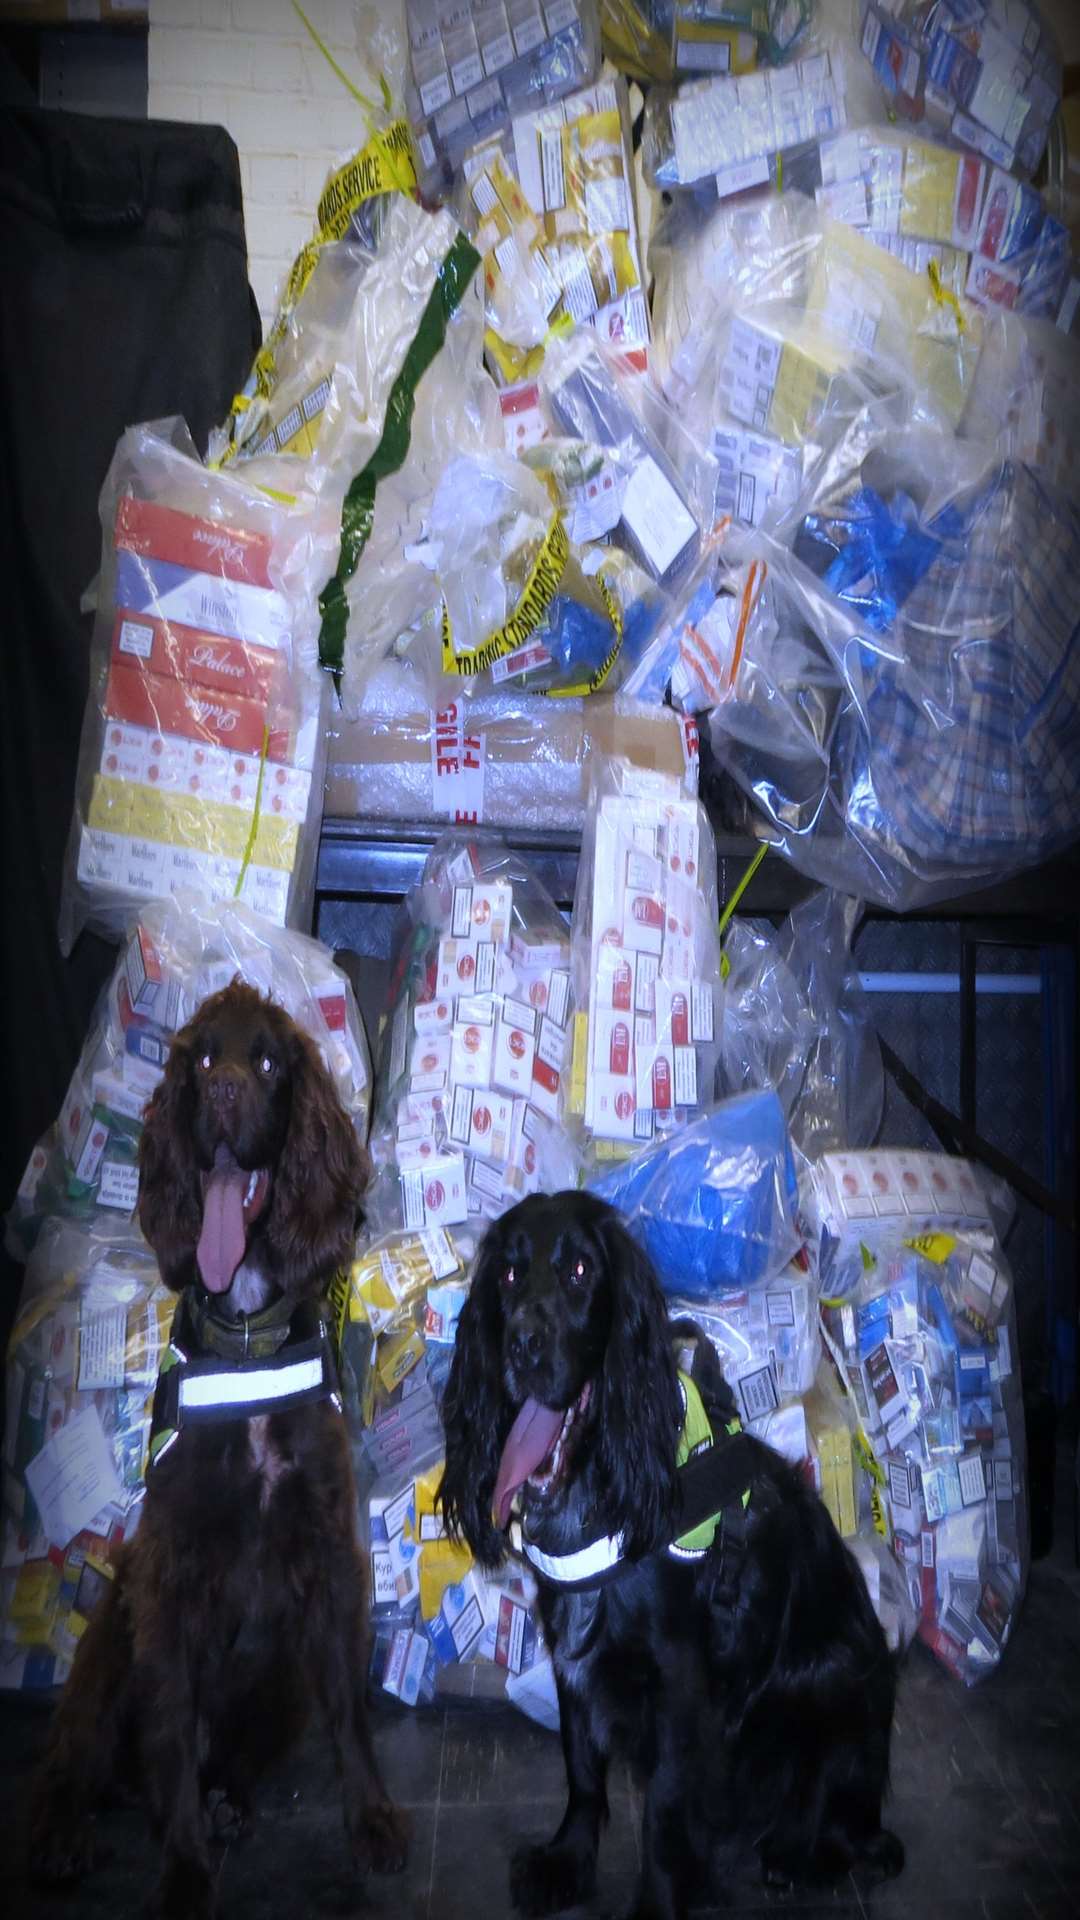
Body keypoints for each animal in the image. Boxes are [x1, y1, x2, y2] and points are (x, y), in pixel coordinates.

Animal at [31, 983, 407, 1912]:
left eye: (268, 1061)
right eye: (202, 1058)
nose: (229, 1092)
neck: (245, 1338)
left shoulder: (329, 1560)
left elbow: (351, 1713)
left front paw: (372, 1820)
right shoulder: (171, 1573)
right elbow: (171, 1728)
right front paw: (185, 1872)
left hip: (279, 1677)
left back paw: (227, 1801)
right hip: (108, 1638)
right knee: (77, 1757)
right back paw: (64, 1832)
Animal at [438, 1190, 899, 1912]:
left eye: (579, 1270)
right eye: (508, 1276)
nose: (523, 1346)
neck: (596, 1481)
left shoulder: (683, 1684)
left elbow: (662, 1811)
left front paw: (656, 1900)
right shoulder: (571, 1648)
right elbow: (582, 1771)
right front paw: (566, 1862)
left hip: (828, 1688)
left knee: (850, 1828)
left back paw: (798, 1854)